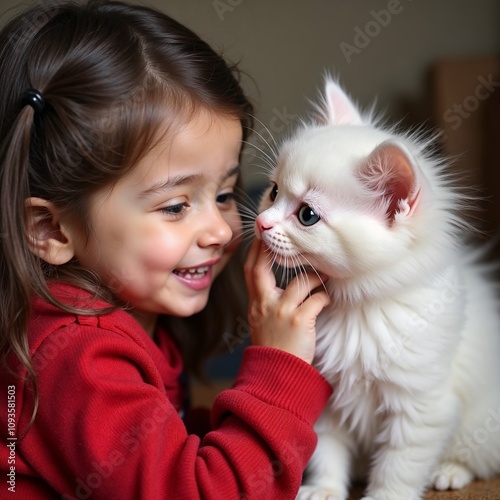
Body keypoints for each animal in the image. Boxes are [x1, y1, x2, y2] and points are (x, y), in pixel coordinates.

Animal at [254, 79, 500, 500]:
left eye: (307, 215)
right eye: (272, 191)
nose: (261, 222)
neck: (357, 308)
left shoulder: (422, 408)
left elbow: (398, 468)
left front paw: (384, 495)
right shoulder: (327, 395)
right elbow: (327, 450)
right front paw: (325, 489)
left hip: (482, 424)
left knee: (478, 458)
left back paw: (450, 471)